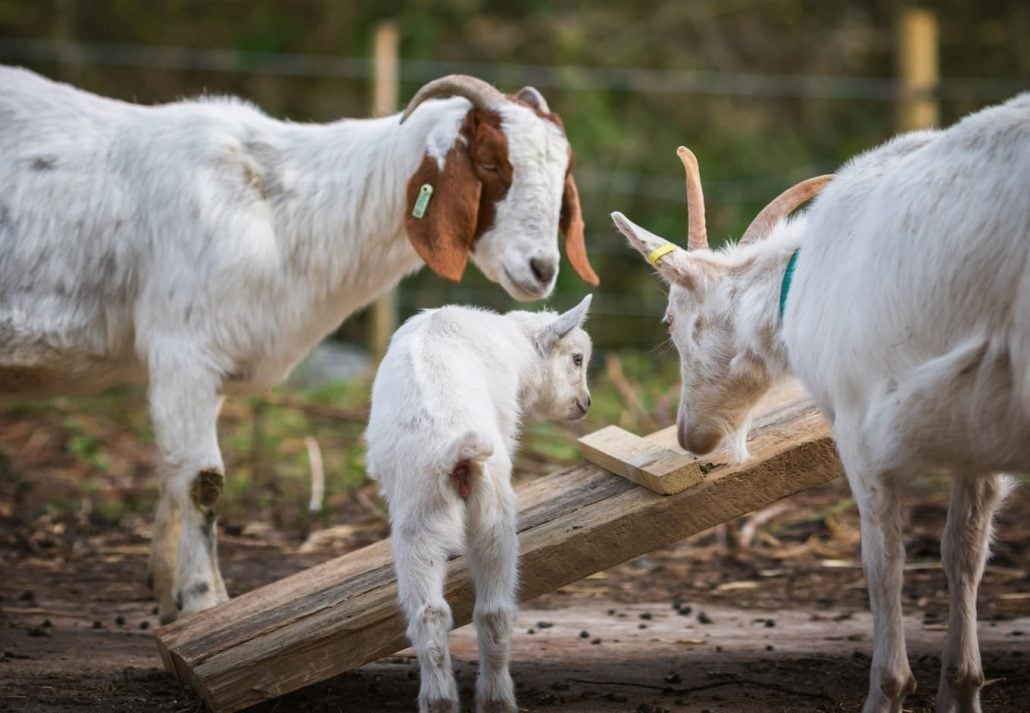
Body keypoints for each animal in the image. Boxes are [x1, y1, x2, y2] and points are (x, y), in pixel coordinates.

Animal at [0, 66, 601, 622]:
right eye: (491, 163)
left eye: (563, 174)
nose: (542, 269)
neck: (277, 210)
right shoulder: (182, 350)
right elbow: (200, 482)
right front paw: (203, 602)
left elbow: (171, 475)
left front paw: (169, 597)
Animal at [368, 294, 597, 713]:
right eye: (576, 358)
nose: (585, 404)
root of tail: (455, 451)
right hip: (492, 512)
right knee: (494, 610)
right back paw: (496, 699)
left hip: (421, 519)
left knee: (432, 613)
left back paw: (441, 700)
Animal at [613, 93, 1025, 713]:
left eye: (669, 320)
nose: (690, 436)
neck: (799, 278)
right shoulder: (976, 435)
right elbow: (963, 551)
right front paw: (961, 686)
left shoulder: (860, 429)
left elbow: (884, 561)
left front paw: (888, 690)